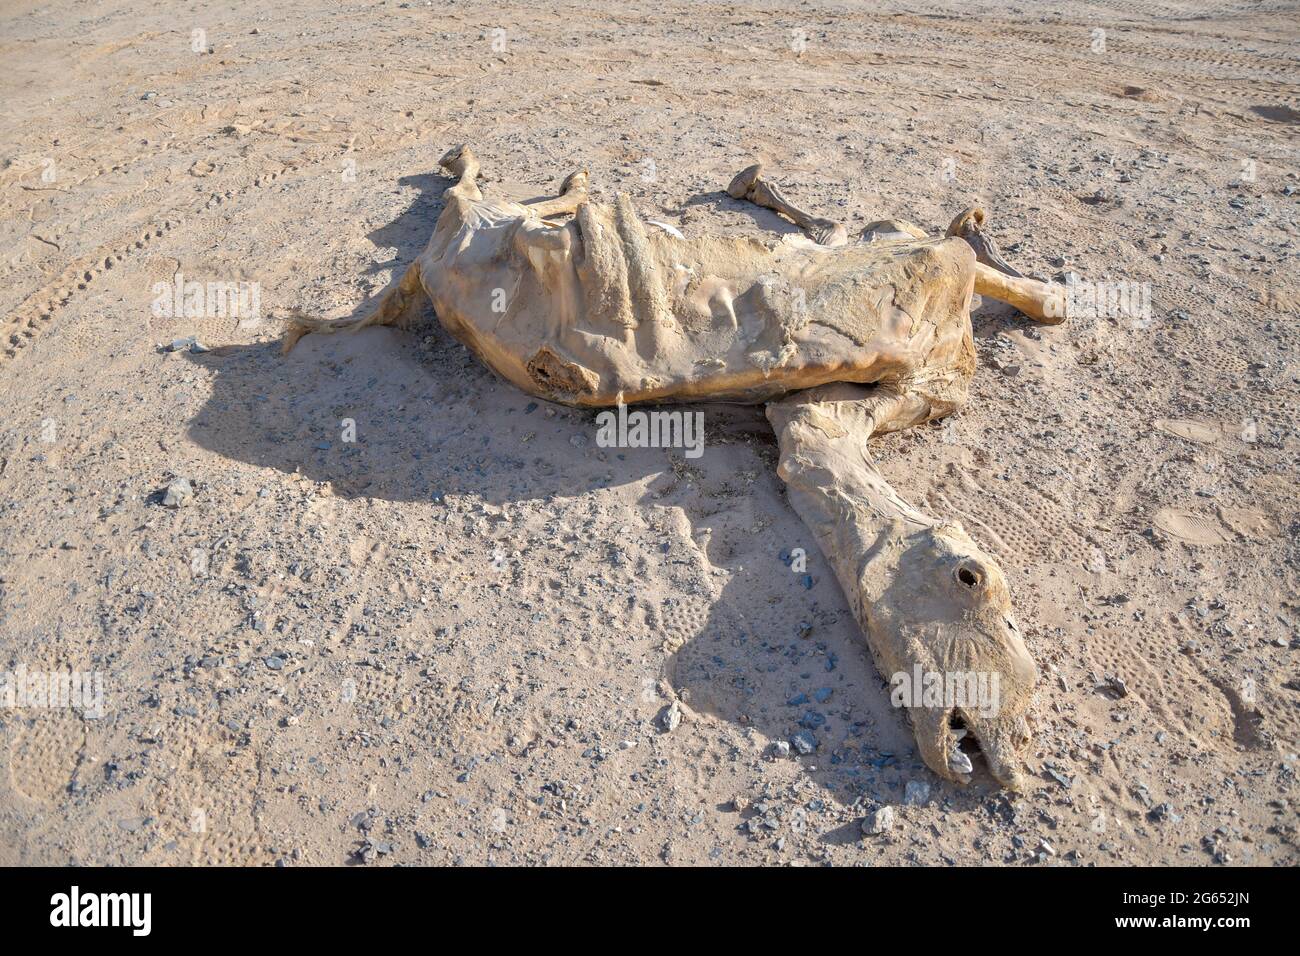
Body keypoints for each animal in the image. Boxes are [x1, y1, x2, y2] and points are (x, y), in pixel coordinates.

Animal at [283, 146, 1069, 789]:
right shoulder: (893, 327)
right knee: (476, 206)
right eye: (971, 580)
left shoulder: (826, 405)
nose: (1000, 750)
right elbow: (963, 267)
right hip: (469, 238)